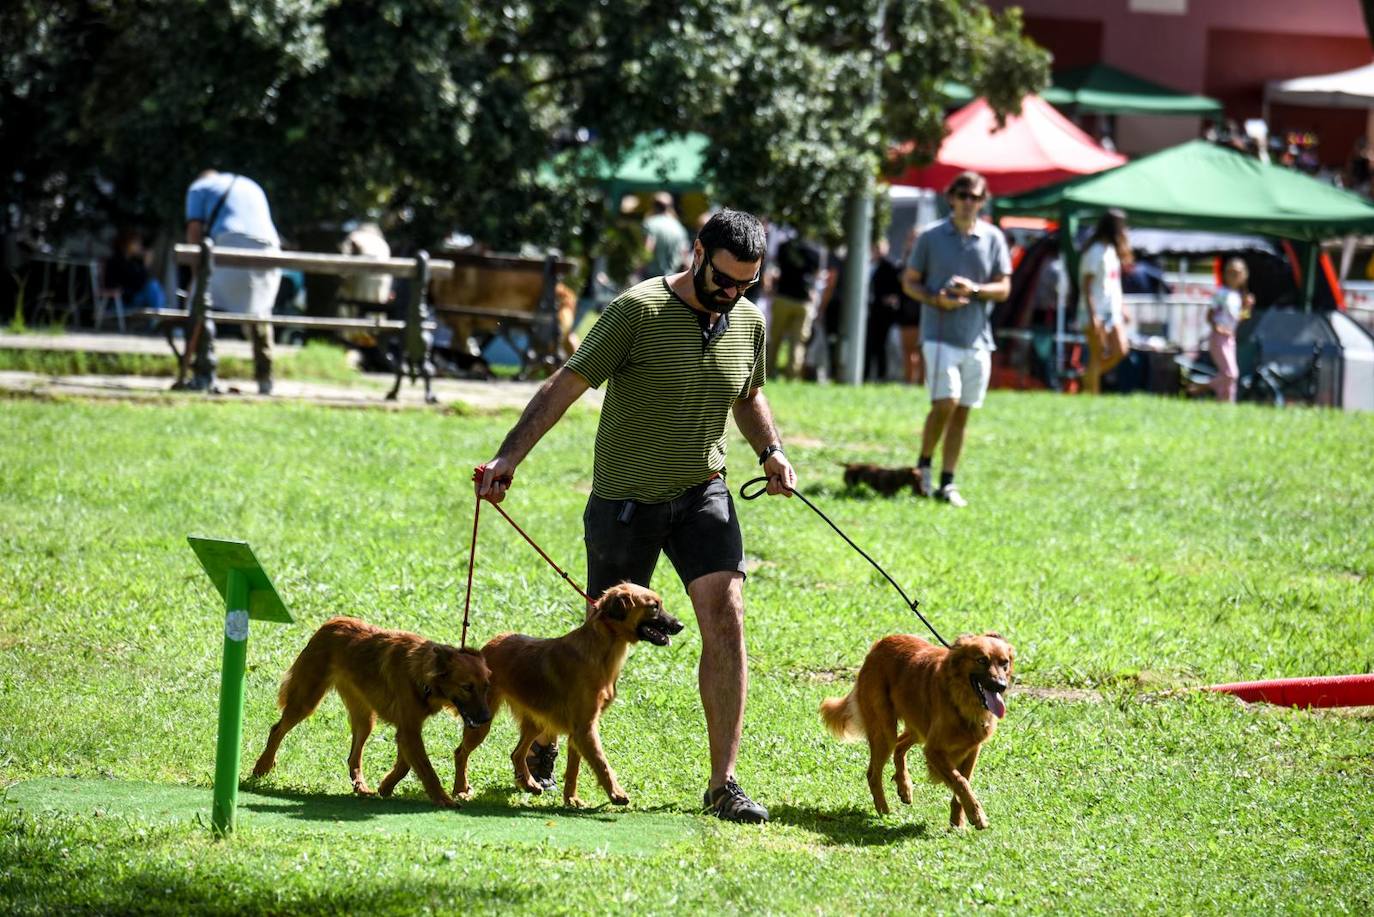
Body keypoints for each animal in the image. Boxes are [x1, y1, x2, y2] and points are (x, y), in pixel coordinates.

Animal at [252, 615, 494, 808]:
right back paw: (262, 766)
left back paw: (361, 787)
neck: (422, 674)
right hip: (306, 701)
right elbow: (426, 768)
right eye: (467, 687)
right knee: (277, 729)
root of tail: (331, 622)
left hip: (366, 718)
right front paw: (443, 799)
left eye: (486, 687)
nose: (486, 718)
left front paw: (386, 786)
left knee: (353, 757)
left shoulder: (407, 731)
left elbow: (406, 764)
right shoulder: (409, 730)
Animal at [453, 585, 684, 808]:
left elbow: (574, 769)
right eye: (654, 606)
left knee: (517, 753)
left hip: (538, 722)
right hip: (482, 720)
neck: (601, 651)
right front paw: (616, 794)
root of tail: (485, 648)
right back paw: (460, 790)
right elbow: (602, 763)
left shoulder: (579, 732)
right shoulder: (585, 729)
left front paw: (571, 799)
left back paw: (529, 784)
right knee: (461, 753)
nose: (680, 625)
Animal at [818, 635, 1016, 830]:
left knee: (899, 746)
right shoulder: (934, 750)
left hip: (917, 729)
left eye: (1004, 663)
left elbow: (962, 784)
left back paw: (904, 785)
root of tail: (879, 644)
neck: (961, 699)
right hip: (885, 731)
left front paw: (958, 822)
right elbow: (960, 781)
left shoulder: (972, 749)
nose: (1001, 685)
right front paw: (977, 815)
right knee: (873, 773)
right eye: (981, 660)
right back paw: (884, 812)